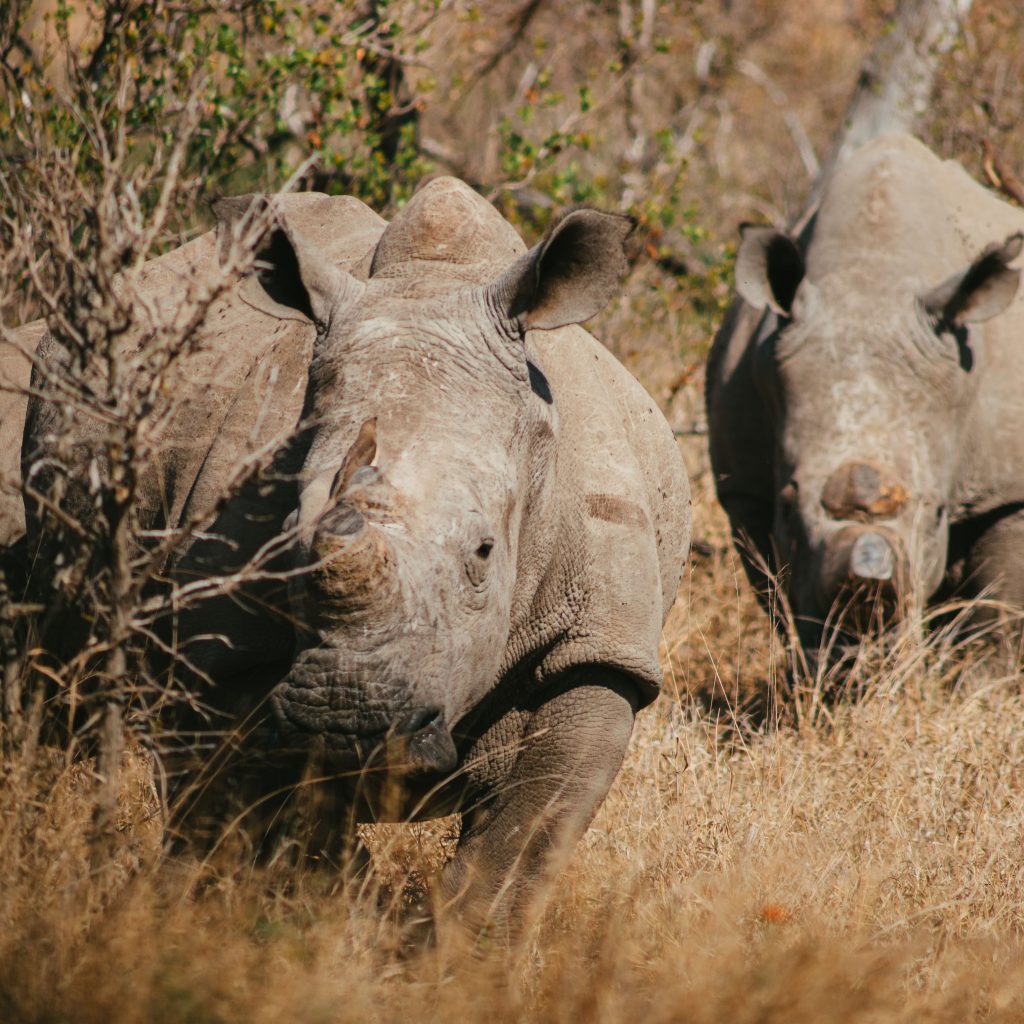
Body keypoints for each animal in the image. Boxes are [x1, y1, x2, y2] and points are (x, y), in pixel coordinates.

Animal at [17, 178, 690, 931]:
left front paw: (457, 952)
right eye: (286, 541)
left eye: (484, 552)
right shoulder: (227, 650)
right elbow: (280, 816)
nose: (348, 721)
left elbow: (522, 839)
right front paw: (330, 925)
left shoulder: (598, 646)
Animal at [707, 133, 1024, 660]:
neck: (871, 278)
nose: (867, 642)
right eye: (787, 504)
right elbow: (781, 598)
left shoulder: (1007, 489)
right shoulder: (745, 488)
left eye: (937, 514)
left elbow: (999, 625)